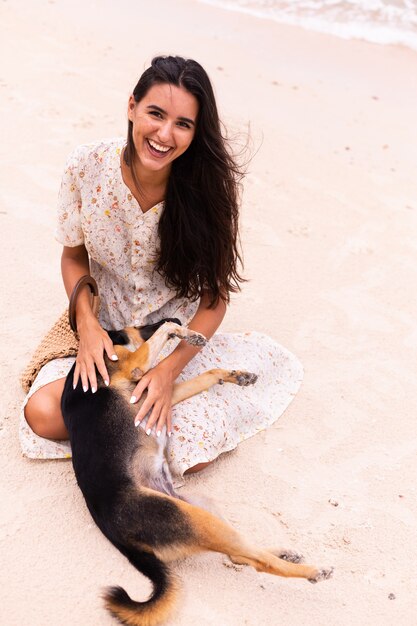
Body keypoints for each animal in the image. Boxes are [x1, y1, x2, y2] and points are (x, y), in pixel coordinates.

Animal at [61, 320, 332, 620]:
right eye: (145, 323)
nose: (181, 320)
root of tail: (120, 539)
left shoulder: (156, 392)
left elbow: (208, 374)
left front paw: (237, 375)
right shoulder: (135, 367)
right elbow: (164, 333)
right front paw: (186, 333)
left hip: (202, 506)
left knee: (240, 554)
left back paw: (284, 553)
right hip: (197, 520)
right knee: (257, 560)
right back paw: (313, 571)